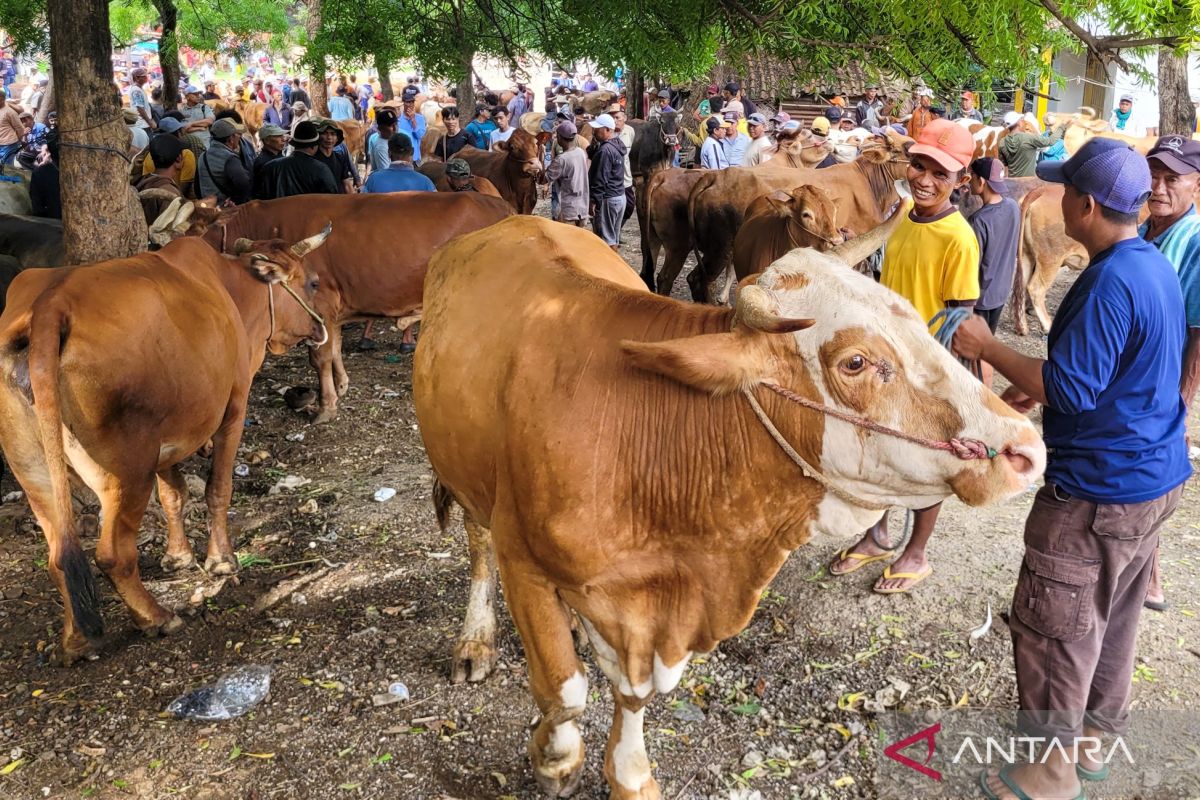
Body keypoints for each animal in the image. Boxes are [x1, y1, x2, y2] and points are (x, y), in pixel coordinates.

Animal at [0, 230, 331, 662]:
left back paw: (75, 640)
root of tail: (50, 305)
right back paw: (156, 618)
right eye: (311, 283)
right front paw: (221, 560)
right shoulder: (234, 409)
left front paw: (178, 556)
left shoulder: (165, 444)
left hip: (34, 473)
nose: (321, 326)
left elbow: (174, 495)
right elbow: (218, 489)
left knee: (59, 557)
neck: (231, 288)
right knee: (113, 555)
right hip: (126, 472)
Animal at [201, 191, 511, 424]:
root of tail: (499, 205)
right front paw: (341, 386)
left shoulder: (323, 305)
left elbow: (321, 357)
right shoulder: (333, 312)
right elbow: (336, 347)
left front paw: (326, 407)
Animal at [410, 215, 1041, 796]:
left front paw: (631, 775)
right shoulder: (526, 562)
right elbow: (563, 691)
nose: (1025, 449)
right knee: (477, 542)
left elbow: (632, 694)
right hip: (461, 472)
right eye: (856, 362)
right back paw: (476, 640)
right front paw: (555, 759)